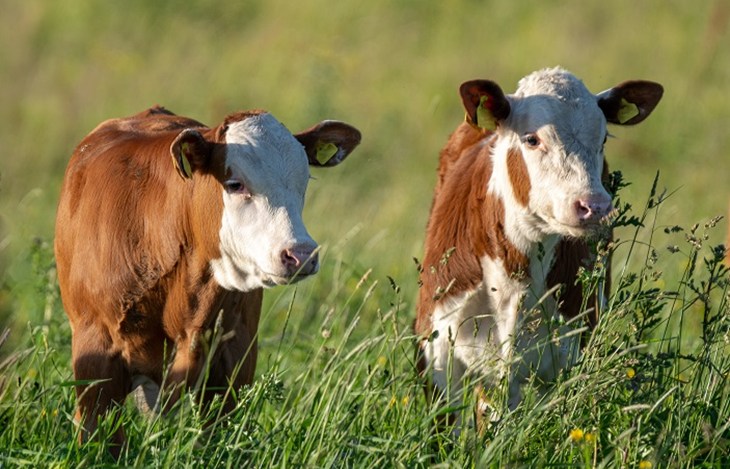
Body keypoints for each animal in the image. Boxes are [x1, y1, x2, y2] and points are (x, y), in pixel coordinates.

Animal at [415, 67, 663, 430]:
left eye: (603, 138)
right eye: (532, 139)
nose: (594, 206)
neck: (514, 281)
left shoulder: (568, 353)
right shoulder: (436, 353)